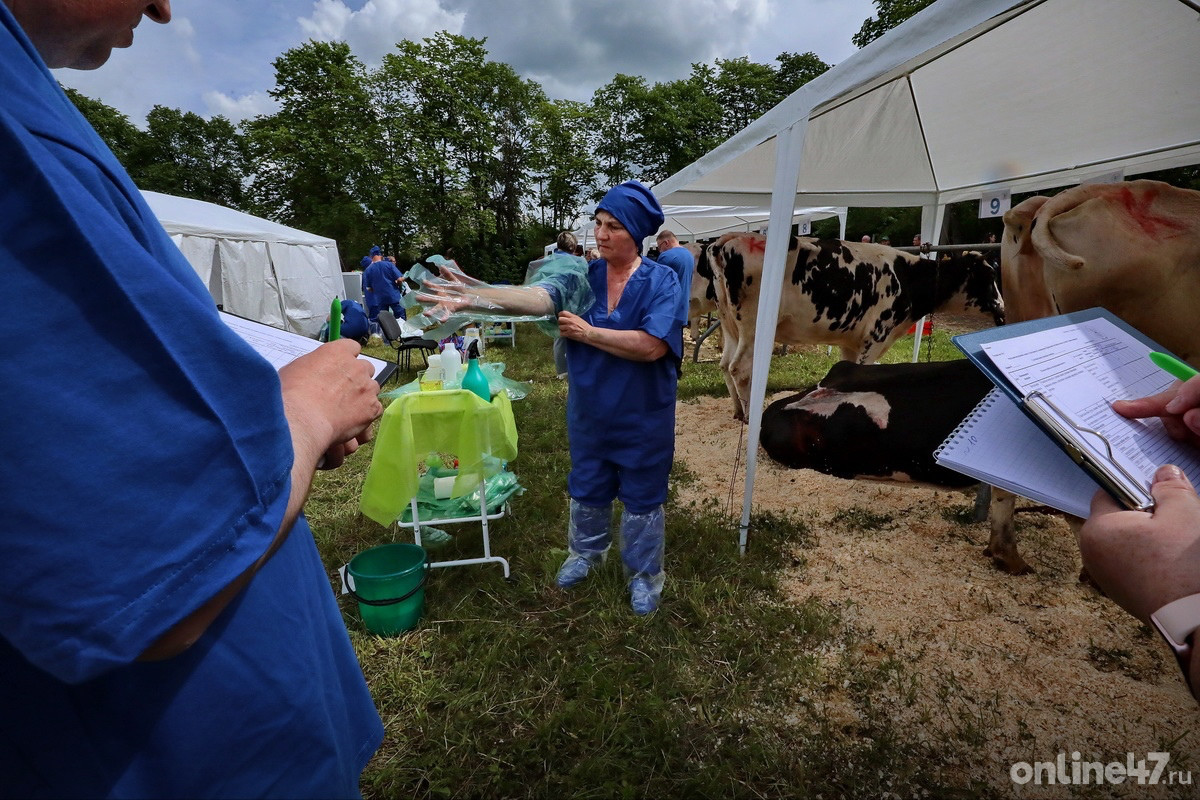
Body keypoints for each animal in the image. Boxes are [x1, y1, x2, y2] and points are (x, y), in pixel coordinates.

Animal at [710, 231, 1003, 419]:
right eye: (988, 277)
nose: (1002, 307)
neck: (907, 277)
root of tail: (729, 239)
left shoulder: (850, 341)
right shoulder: (876, 335)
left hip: (729, 324)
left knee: (724, 365)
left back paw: (737, 411)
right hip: (752, 326)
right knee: (740, 368)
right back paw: (750, 416)